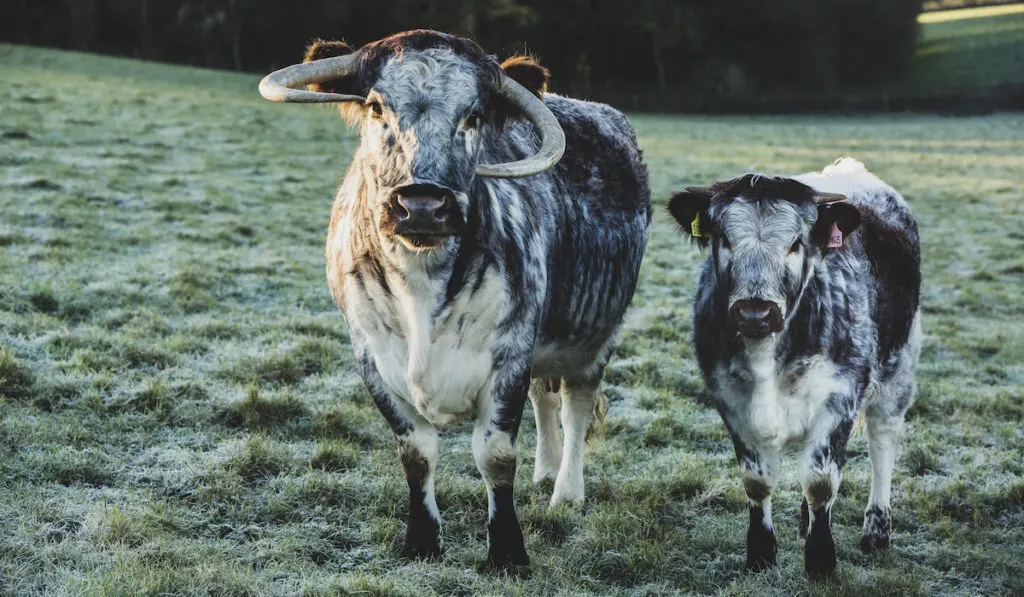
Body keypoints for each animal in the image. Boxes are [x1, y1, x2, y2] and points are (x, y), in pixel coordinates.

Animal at [667, 158, 925, 577]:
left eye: (795, 243)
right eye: (725, 239)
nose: (755, 313)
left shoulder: (840, 396)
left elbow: (821, 481)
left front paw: (820, 560)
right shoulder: (730, 401)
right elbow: (757, 481)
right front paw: (760, 553)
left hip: (898, 370)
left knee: (882, 441)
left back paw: (876, 532)